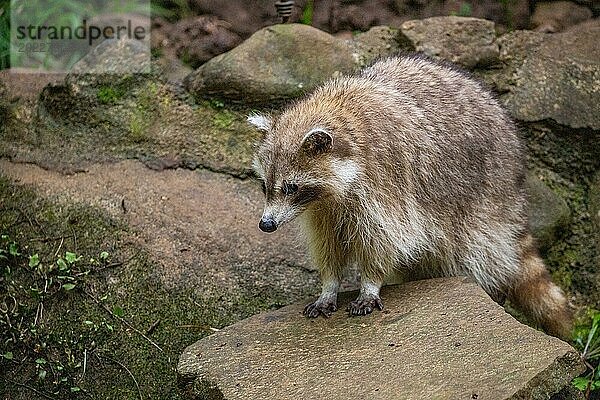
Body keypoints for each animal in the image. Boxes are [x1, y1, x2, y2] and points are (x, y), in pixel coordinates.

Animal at [247, 54, 572, 340]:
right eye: (265, 186)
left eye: (291, 187)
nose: (266, 225)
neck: (335, 111)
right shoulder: (322, 209)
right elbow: (328, 245)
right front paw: (329, 286)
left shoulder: (386, 181)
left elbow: (385, 238)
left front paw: (370, 283)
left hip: (483, 197)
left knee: (473, 252)